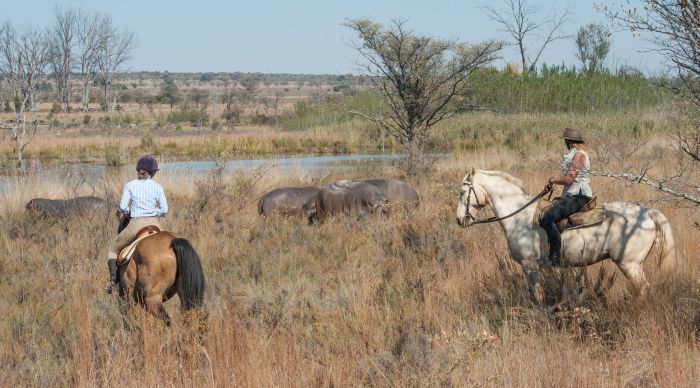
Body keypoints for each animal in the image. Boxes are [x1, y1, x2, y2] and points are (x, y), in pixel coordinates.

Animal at [456, 168, 676, 302]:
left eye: (462, 192)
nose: (459, 220)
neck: (520, 217)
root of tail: (646, 212)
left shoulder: (530, 266)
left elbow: (537, 296)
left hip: (630, 265)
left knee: (644, 288)